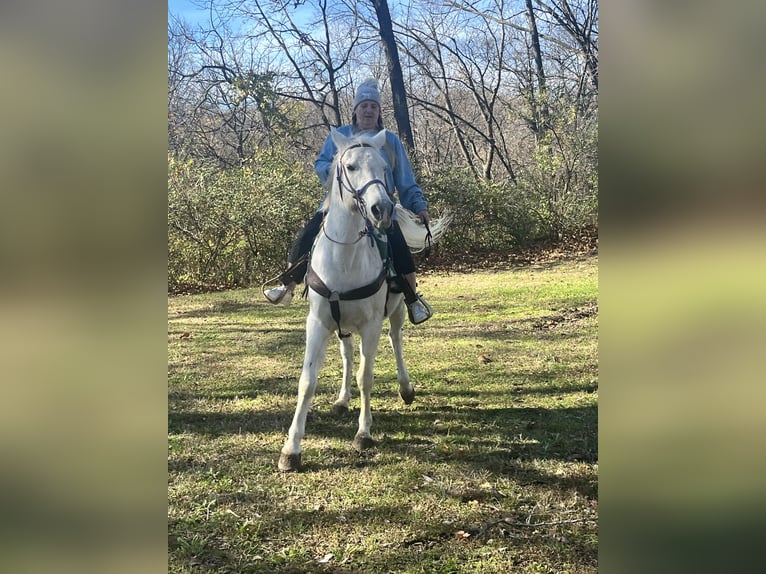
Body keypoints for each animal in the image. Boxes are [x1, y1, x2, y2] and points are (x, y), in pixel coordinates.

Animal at [280, 129, 450, 472]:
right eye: (351, 166)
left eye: (385, 167)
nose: (382, 209)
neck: (344, 257)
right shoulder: (318, 323)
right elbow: (308, 381)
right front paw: (291, 449)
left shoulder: (371, 325)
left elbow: (366, 377)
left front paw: (364, 434)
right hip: (342, 325)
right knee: (346, 355)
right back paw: (342, 400)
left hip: (396, 313)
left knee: (396, 340)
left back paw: (405, 388)